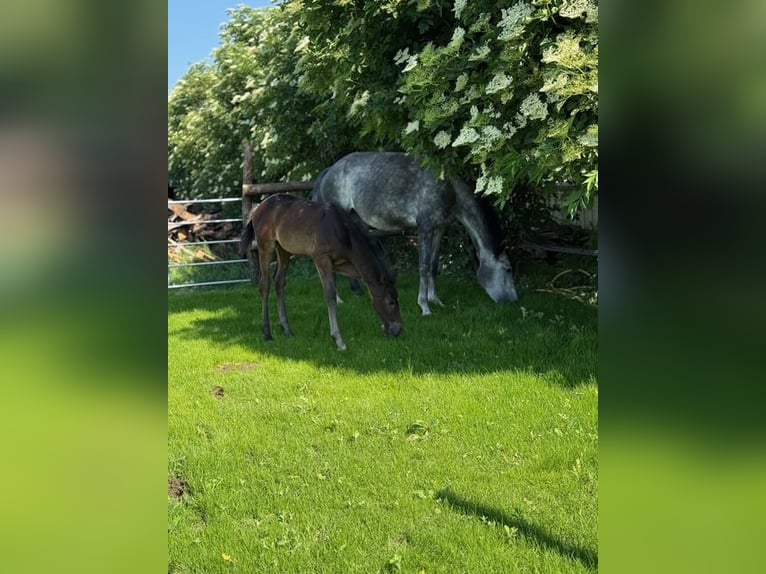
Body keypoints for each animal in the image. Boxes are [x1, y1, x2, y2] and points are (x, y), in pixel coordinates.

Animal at [239, 193, 402, 351]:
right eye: (390, 301)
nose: (398, 330)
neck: (342, 231)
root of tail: (257, 209)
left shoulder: (344, 265)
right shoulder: (321, 258)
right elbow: (330, 294)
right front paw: (338, 340)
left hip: (284, 250)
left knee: (279, 282)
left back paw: (287, 330)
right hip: (265, 247)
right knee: (264, 284)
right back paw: (267, 333)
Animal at [312, 152, 518, 315]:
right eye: (508, 268)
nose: (514, 300)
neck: (447, 186)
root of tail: (329, 171)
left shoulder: (439, 229)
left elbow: (433, 265)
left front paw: (436, 301)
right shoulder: (424, 228)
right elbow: (424, 266)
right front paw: (424, 306)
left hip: (356, 221)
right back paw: (339, 299)